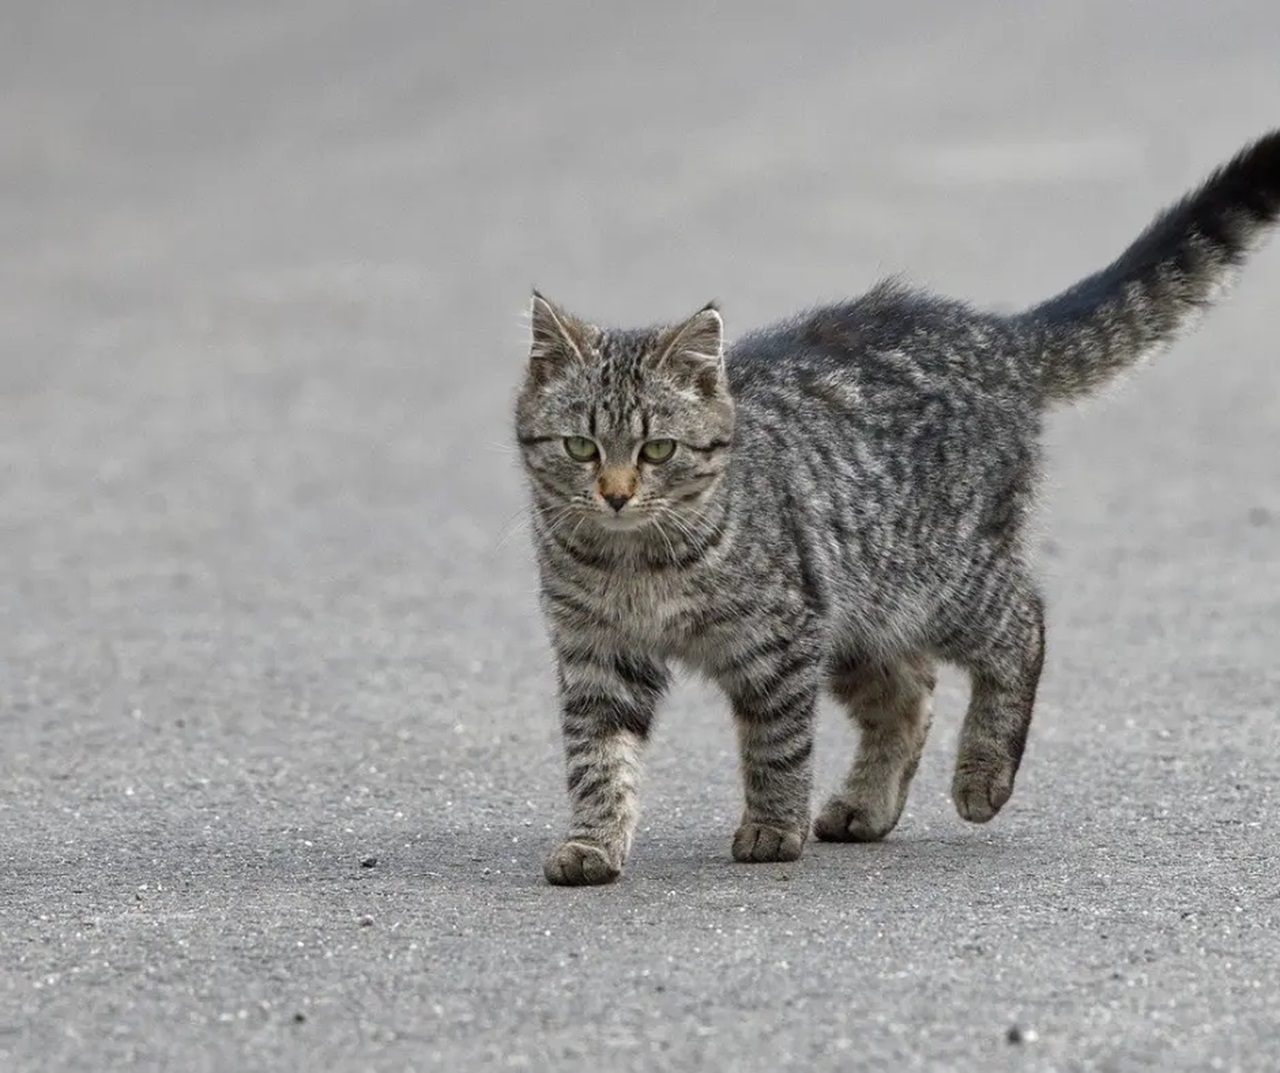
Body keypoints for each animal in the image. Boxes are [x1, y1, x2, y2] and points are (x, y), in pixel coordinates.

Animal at [512, 129, 1280, 886]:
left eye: (658, 449)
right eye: (581, 446)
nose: (616, 493)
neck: (634, 560)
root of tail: (995, 335)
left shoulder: (781, 637)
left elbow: (776, 744)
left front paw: (773, 826)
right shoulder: (597, 652)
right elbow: (597, 757)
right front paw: (593, 840)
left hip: (943, 581)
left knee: (1023, 622)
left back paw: (982, 774)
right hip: (863, 611)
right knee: (910, 695)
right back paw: (866, 806)